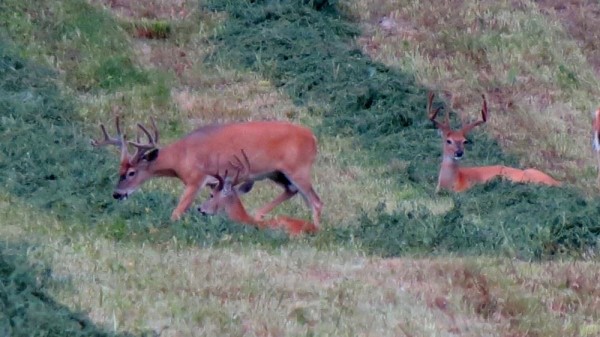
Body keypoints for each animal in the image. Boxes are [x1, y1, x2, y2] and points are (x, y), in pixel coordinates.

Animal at [90, 116, 324, 226]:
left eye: (131, 173)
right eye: (119, 170)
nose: (116, 194)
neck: (181, 156)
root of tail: (313, 138)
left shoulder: (195, 179)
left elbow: (178, 211)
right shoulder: (212, 181)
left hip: (299, 168)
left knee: (316, 201)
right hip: (276, 172)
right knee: (292, 191)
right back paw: (259, 214)